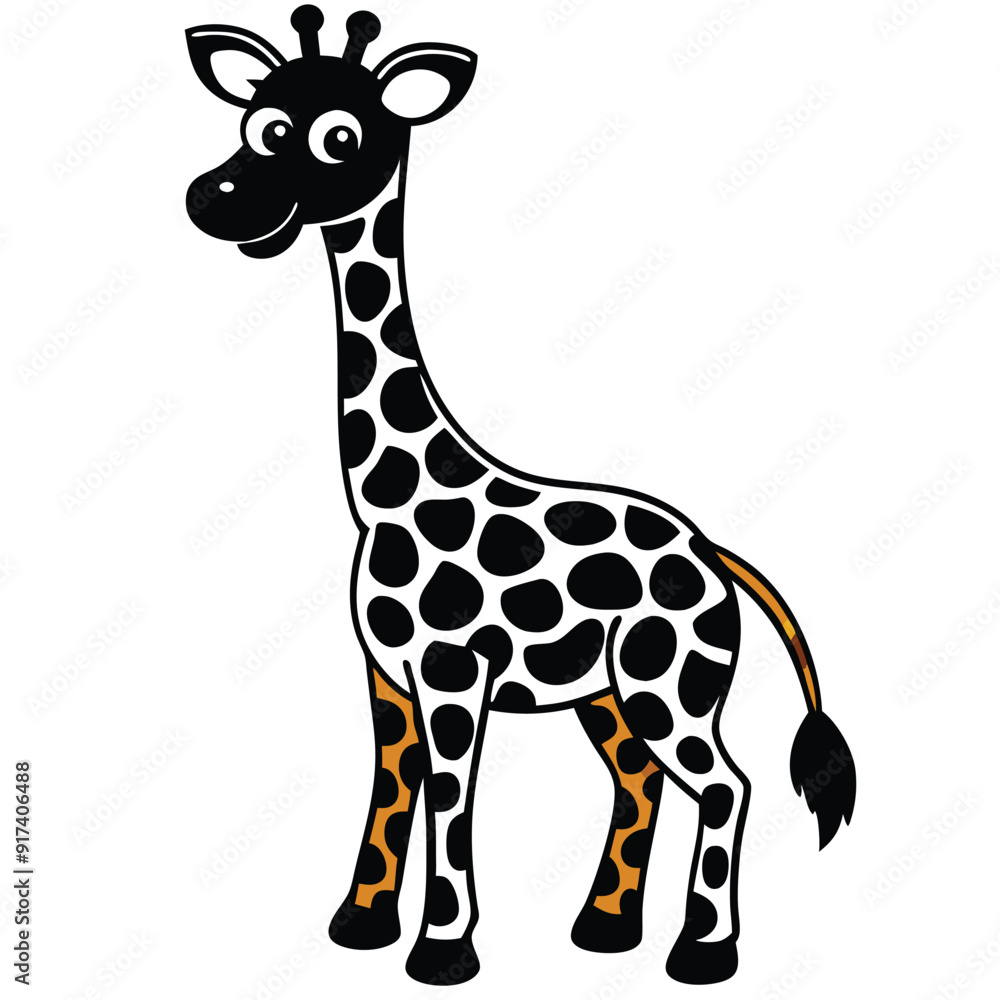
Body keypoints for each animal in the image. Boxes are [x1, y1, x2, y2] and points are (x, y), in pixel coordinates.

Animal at [185, 6, 857, 986]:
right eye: (262, 124)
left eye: (339, 136)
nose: (212, 199)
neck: (387, 495)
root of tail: (711, 551)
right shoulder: (387, 673)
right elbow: (393, 791)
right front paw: (360, 926)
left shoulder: (453, 674)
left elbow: (448, 799)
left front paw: (442, 952)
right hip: (606, 692)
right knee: (640, 778)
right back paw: (606, 930)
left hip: (669, 681)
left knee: (725, 783)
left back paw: (701, 952)